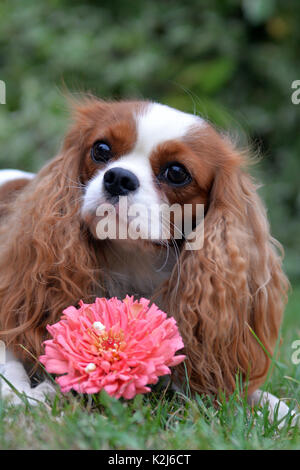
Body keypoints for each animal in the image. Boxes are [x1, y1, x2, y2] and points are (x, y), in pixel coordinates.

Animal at [0, 98, 292, 422]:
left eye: (176, 172)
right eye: (101, 149)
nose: (119, 177)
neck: (134, 260)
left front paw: (279, 409)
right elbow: (9, 354)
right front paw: (21, 393)